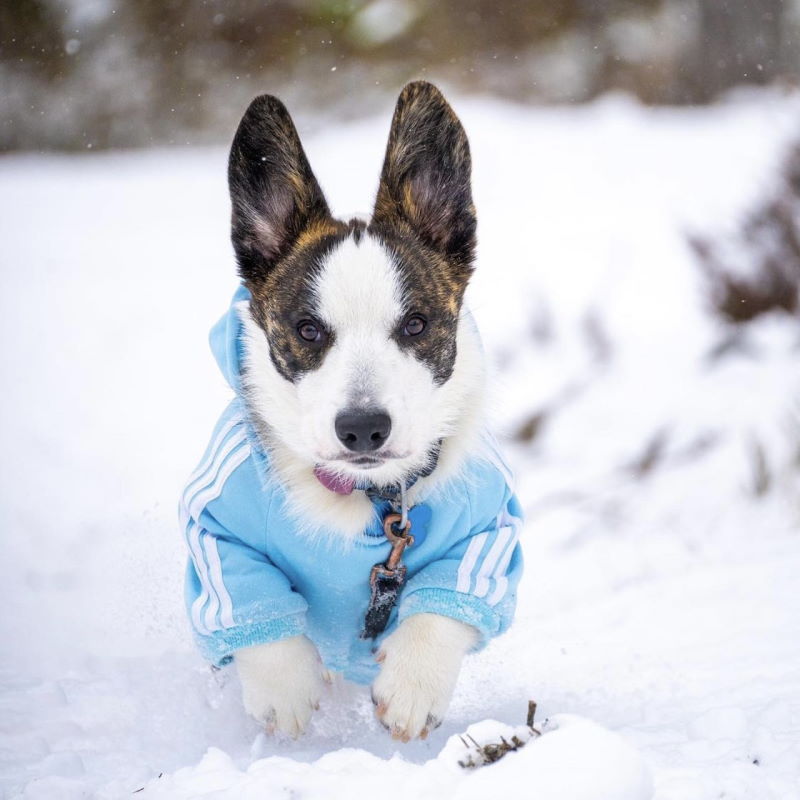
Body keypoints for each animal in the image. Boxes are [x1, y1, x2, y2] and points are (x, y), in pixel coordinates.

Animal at [184, 81, 528, 736]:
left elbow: (445, 608)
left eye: (416, 324)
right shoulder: (216, 531)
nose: (363, 429)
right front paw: (285, 694)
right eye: (308, 330)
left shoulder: (488, 533)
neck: (371, 496)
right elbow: (254, 607)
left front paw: (413, 688)